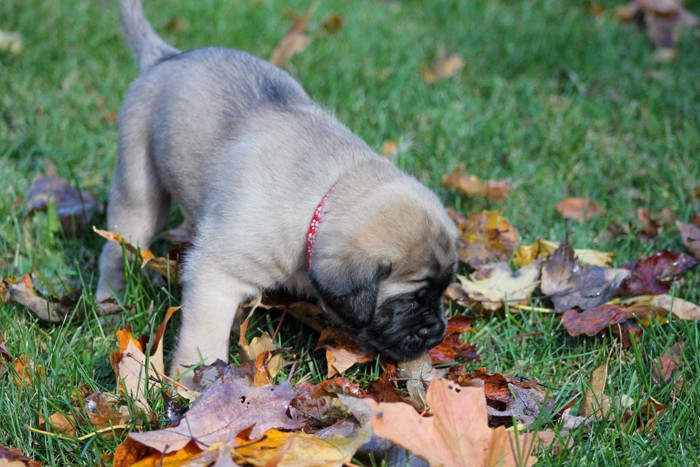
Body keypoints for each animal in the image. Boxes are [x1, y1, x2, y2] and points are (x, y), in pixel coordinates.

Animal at [98, 0, 460, 388]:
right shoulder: (215, 276)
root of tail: (166, 56)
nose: (437, 333)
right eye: (411, 300)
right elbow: (203, 337)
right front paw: (198, 382)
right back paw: (110, 300)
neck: (323, 200)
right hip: (139, 190)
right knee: (116, 248)